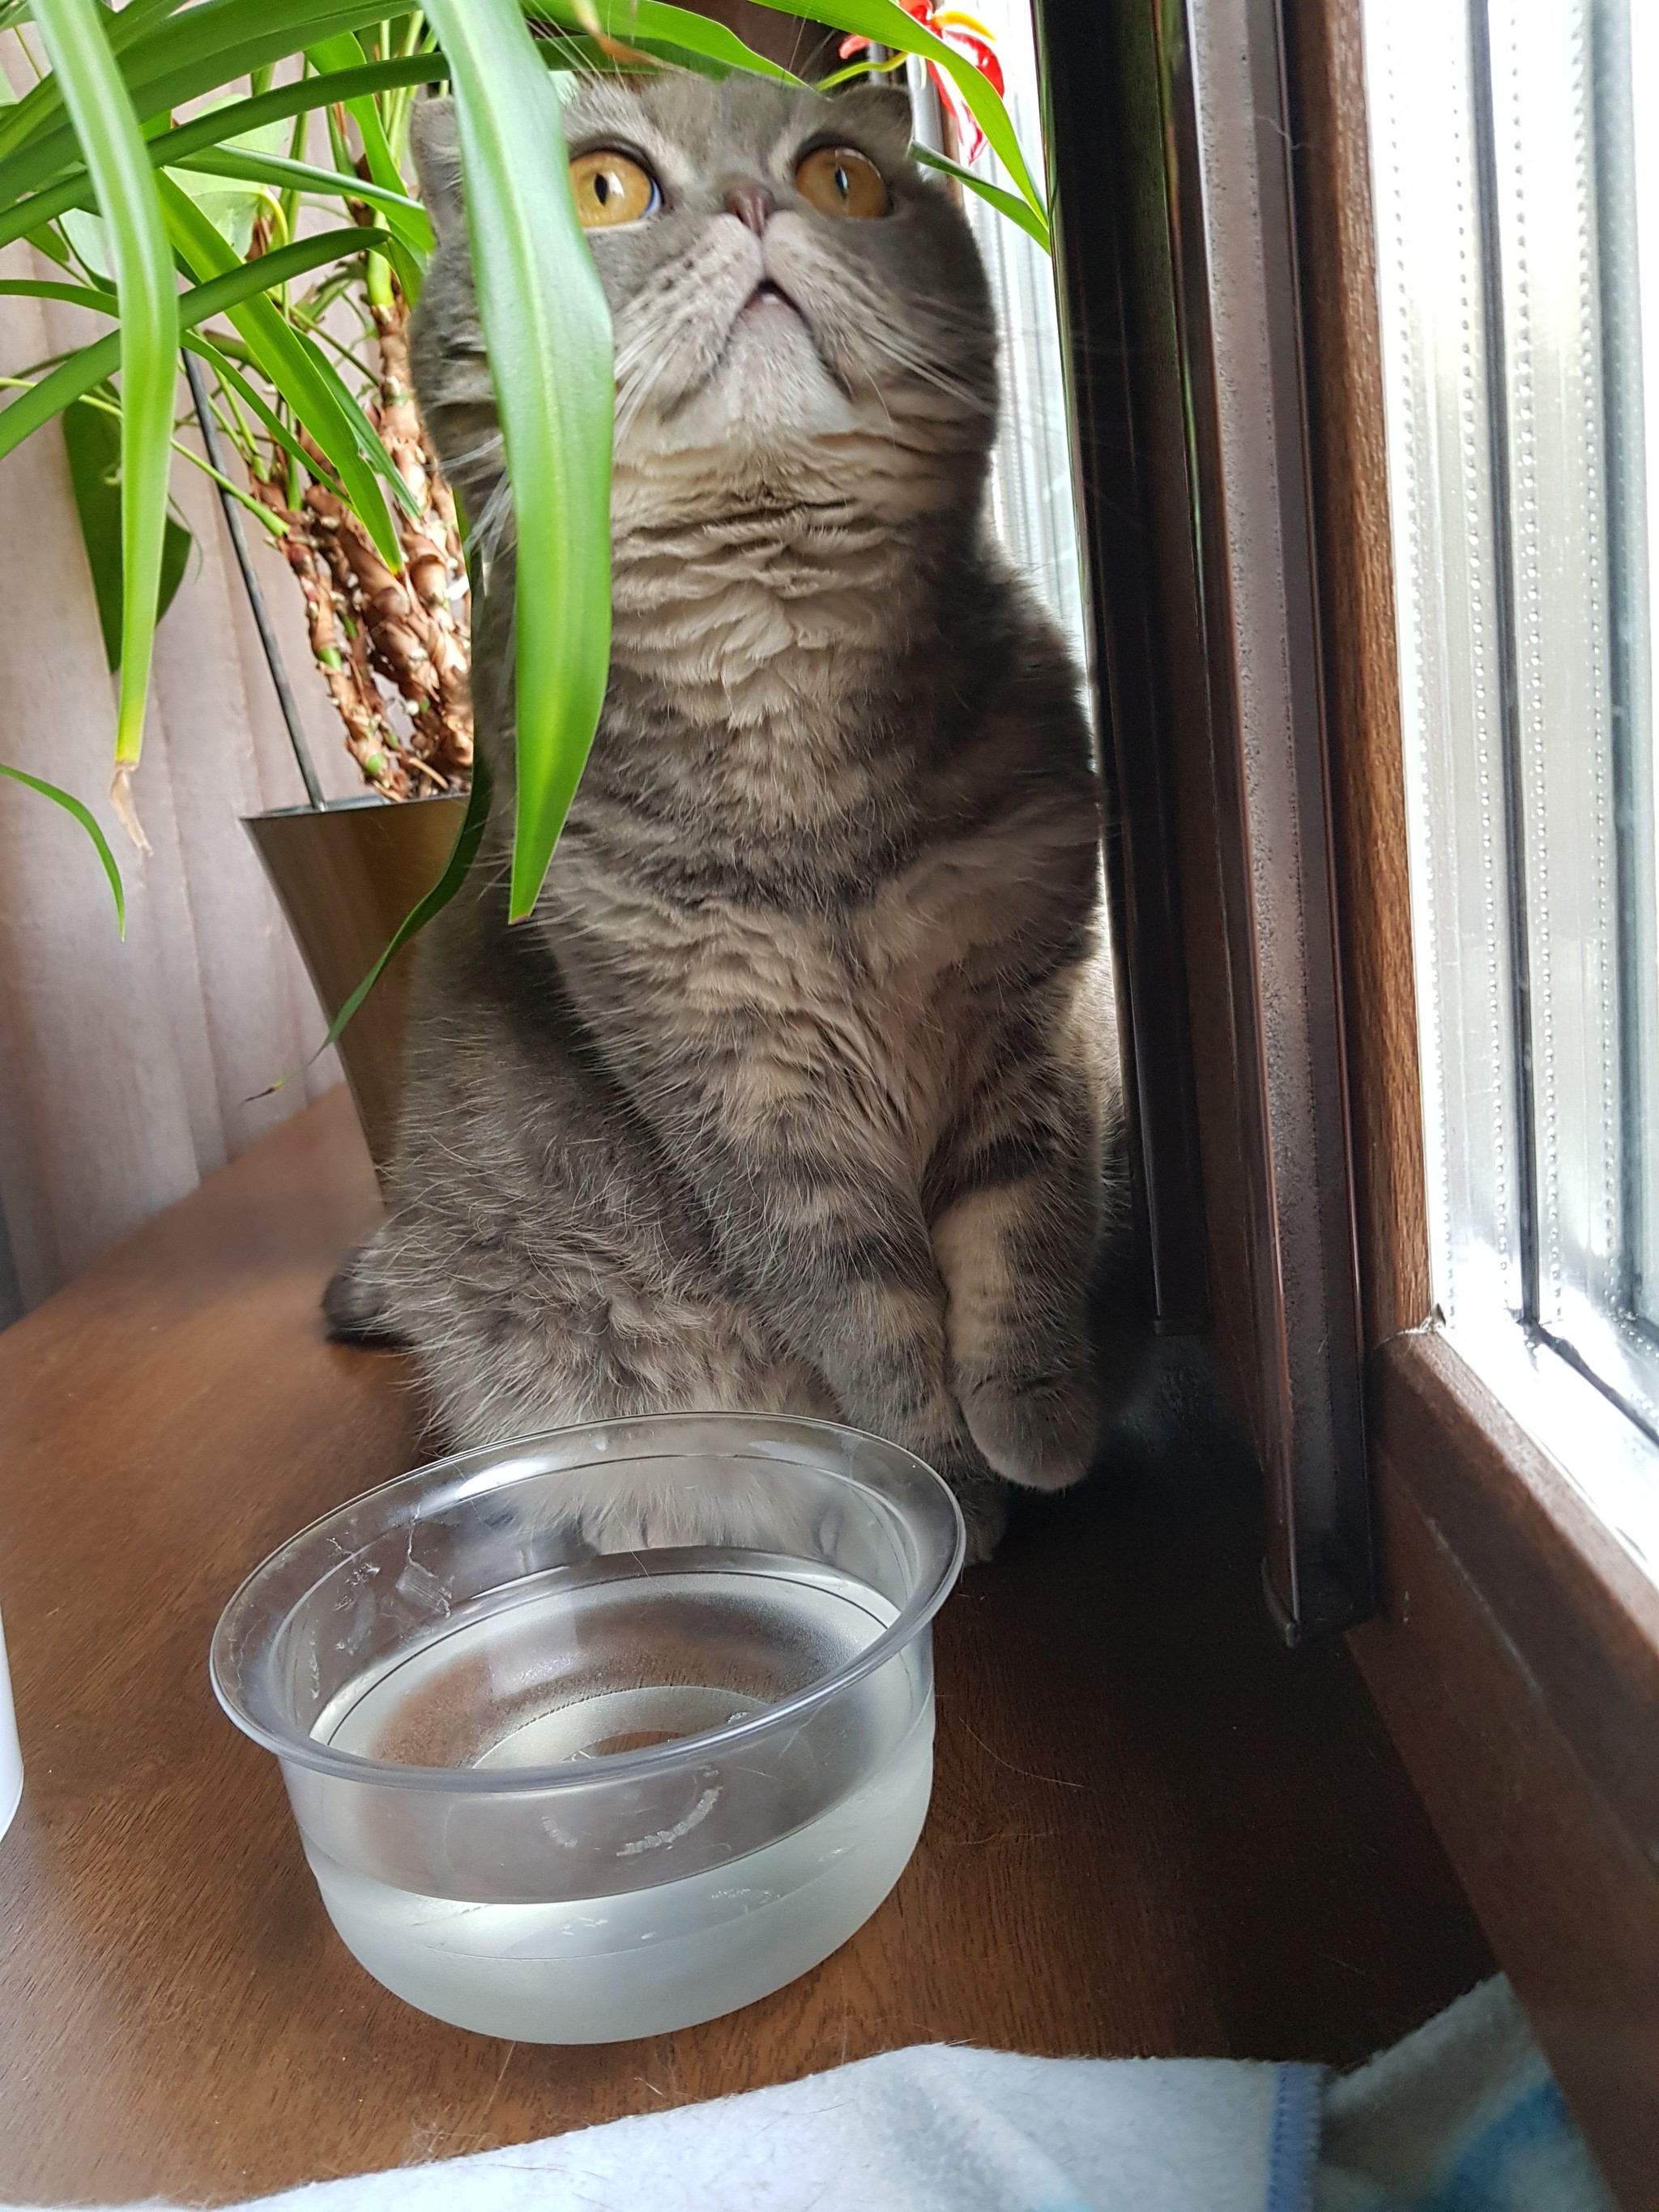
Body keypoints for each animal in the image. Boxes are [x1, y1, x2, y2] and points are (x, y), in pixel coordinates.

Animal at [325, 69, 1132, 1557]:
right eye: (601, 186)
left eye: (843, 178)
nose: (759, 203)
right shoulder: (732, 1094)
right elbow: (866, 1316)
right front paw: (947, 1487)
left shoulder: (1030, 1013)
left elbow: (1023, 1233)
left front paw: (1035, 1416)